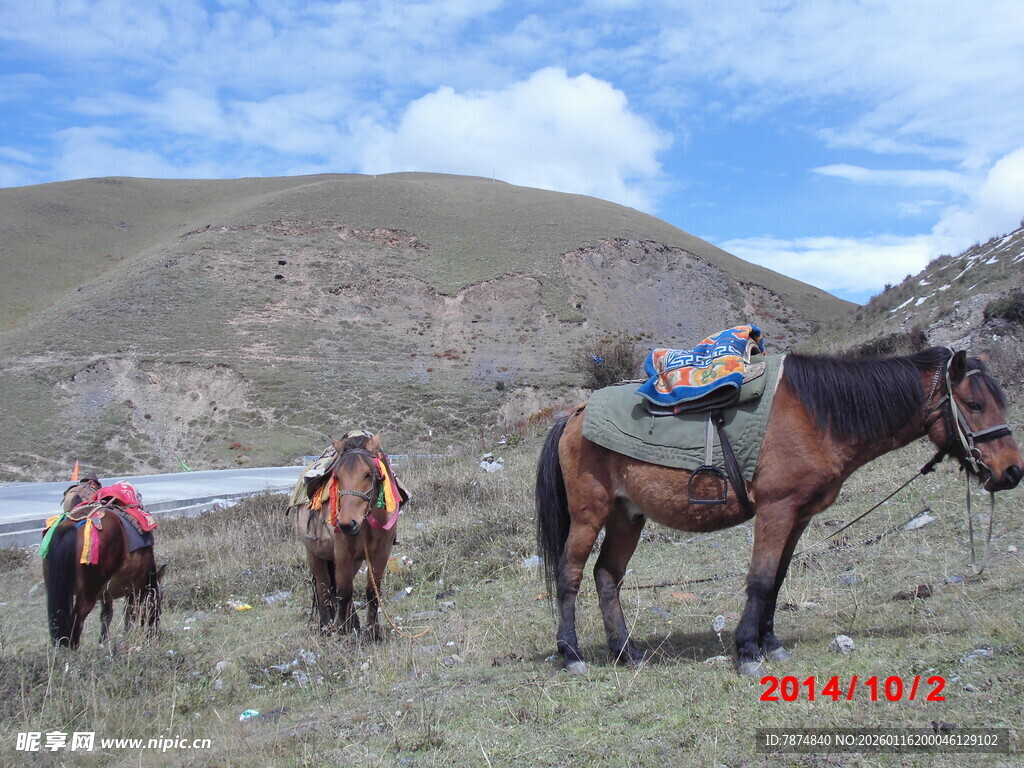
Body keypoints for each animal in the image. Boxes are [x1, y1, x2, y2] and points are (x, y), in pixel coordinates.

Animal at [43, 488, 164, 648]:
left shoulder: (107, 593)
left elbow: (106, 615)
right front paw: (127, 635)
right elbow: (129, 613)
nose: (154, 632)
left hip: (56, 588)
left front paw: (104, 641)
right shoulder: (134, 587)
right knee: (76, 622)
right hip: (88, 593)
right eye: (158, 600)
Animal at [296, 432, 403, 640]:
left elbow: (372, 592)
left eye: (368, 474)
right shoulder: (343, 552)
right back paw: (327, 627)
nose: (347, 524)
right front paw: (342, 631)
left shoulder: (381, 553)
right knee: (324, 588)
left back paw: (353, 624)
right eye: (336, 476)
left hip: (353, 560)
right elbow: (343, 593)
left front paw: (372, 632)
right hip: (315, 555)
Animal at [536, 347, 1022, 676]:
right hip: (590, 514)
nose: (1012, 471)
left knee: (607, 576)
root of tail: (575, 414)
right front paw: (748, 651)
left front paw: (770, 643)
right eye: (974, 404)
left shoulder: (799, 516)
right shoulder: (777, 510)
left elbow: (778, 579)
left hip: (627, 516)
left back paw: (626, 652)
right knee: (570, 574)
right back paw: (572, 654)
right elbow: (760, 579)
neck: (815, 414)